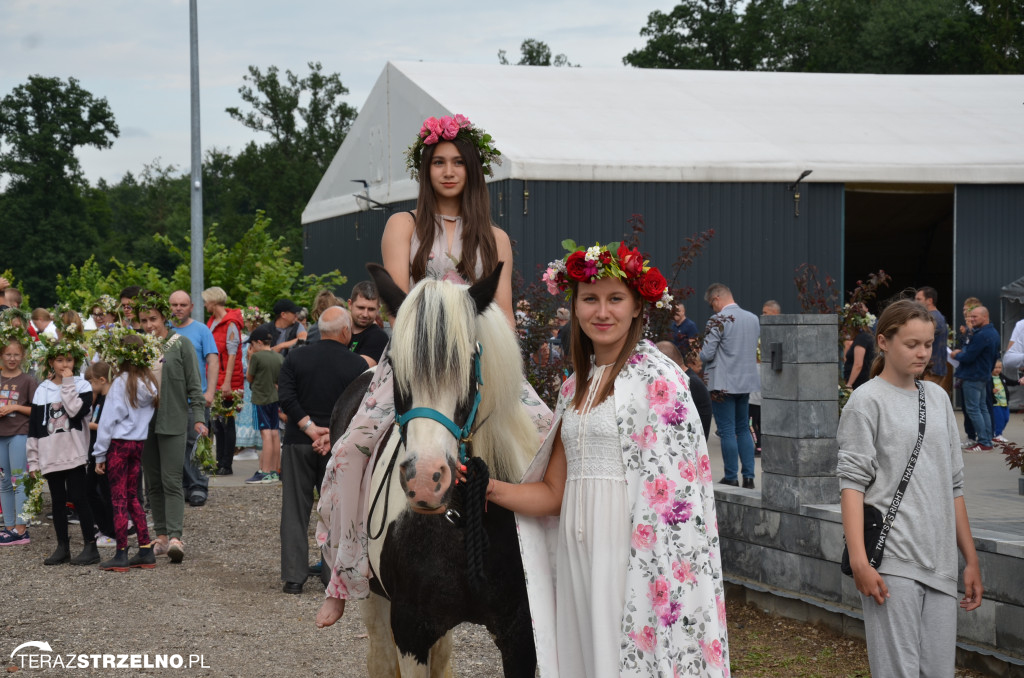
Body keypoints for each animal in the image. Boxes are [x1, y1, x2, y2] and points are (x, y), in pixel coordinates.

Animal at [327, 266, 540, 678]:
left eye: (469, 363)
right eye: (395, 365)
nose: (425, 479)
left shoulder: (521, 636)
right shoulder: (412, 631)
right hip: (371, 596)